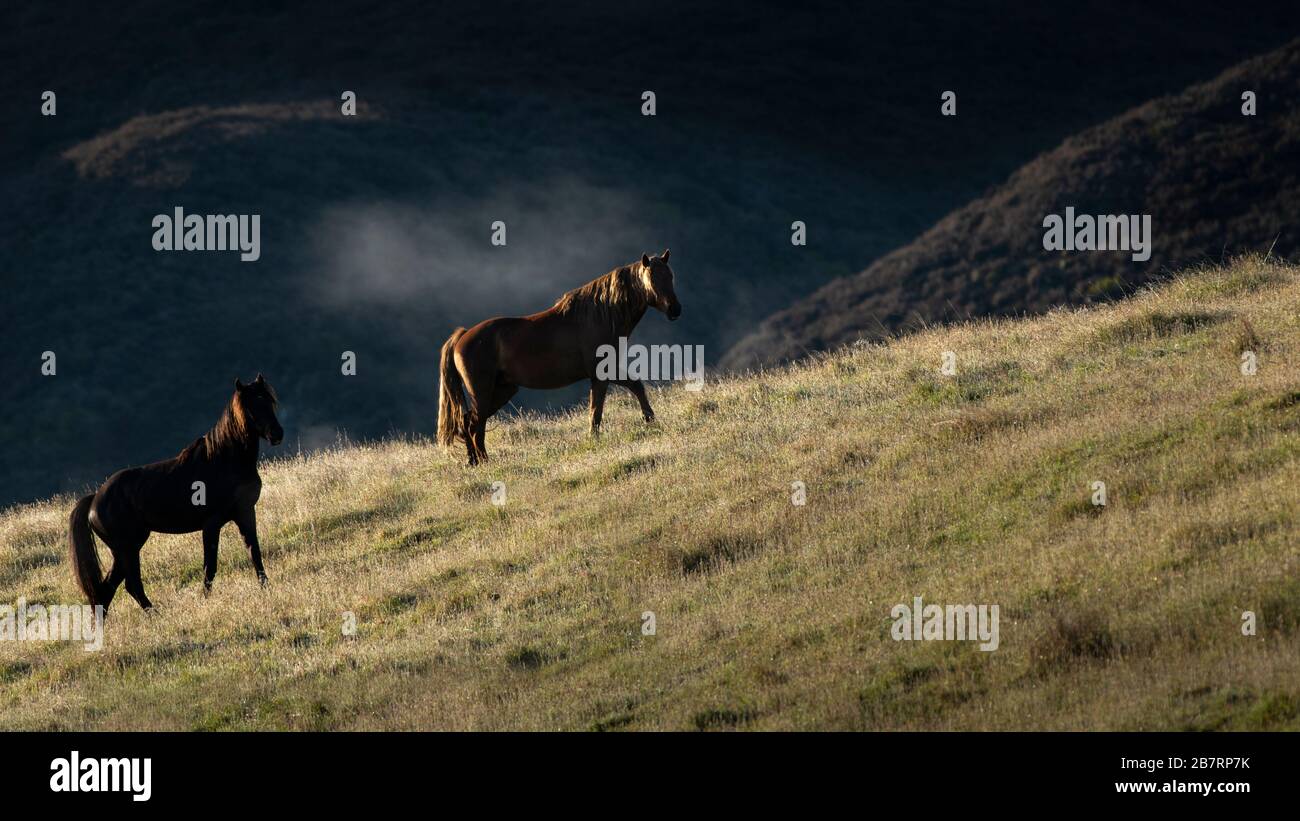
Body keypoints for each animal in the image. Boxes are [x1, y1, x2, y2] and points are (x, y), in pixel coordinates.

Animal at [68, 374, 284, 613]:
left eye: (269, 401)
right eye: (252, 406)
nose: (277, 434)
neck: (224, 460)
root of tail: (95, 499)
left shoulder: (245, 513)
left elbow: (255, 554)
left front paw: (266, 589)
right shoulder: (212, 524)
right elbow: (210, 567)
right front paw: (205, 600)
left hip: (127, 549)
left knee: (109, 589)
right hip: (127, 549)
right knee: (127, 586)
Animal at [436, 246, 681, 465]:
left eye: (670, 276)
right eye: (652, 279)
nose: (675, 309)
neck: (600, 315)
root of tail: (463, 335)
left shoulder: (607, 372)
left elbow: (634, 387)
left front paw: (650, 420)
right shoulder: (601, 373)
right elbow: (597, 411)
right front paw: (595, 440)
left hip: (503, 390)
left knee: (469, 422)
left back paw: (474, 462)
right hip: (483, 392)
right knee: (475, 425)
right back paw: (485, 462)